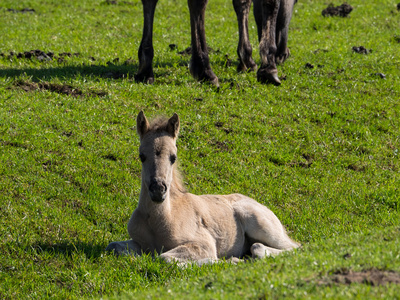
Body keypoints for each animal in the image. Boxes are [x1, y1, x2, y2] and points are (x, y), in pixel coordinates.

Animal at [106, 111, 300, 264]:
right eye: (142, 156)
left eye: (173, 157)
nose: (158, 190)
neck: (160, 219)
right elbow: (113, 246)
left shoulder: (203, 244)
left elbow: (165, 258)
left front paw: (227, 261)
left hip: (261, 224)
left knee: (289, 247)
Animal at [134, 0, 296, 85]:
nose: (283, 54)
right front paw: (268, 66)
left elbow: (243, 4)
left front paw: (247, 58)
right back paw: (204, 69)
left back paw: (145, 67)